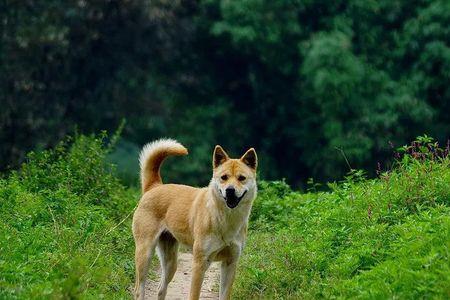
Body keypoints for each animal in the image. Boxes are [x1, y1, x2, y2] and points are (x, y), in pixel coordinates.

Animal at [132, 139, 256, 298]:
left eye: (241, 178)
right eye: (224, 177)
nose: (230, 190)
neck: (225, 218)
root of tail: (155, 186)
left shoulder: (230, 263)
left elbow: (224, 295)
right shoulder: (199, 263)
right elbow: (194, 295)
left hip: (171, 262)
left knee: (161, 289)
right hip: (145, 253)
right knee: (138, 289)